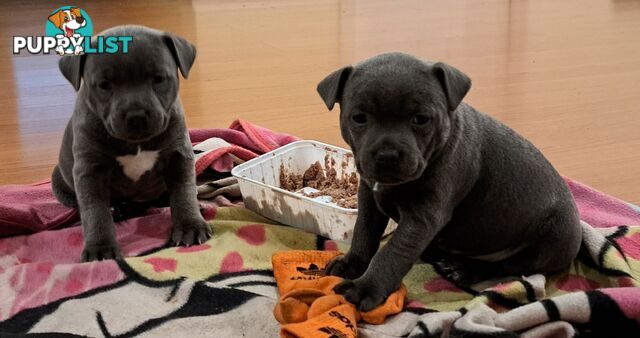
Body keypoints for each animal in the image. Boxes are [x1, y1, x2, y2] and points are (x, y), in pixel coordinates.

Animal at [52, 25, 211, 262]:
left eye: (158, 78)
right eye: (104, 85)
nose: (136, 115)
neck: (136, 144)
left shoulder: (179, 155)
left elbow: (183, 191)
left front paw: (190, 225)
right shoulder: (89, 170)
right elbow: (95, 210)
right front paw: (100, 247)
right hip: (60, 180)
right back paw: (119, 210)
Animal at [318, 52, 584, 312]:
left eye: (421, 119)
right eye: (358, 118)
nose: (388, 156)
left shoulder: (422, 218)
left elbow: (392, 251)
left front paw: (367, 287)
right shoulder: (369, 197)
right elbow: (364, 232)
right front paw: (352, 263)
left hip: (549, 240)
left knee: (507, 267)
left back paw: (464, 269)